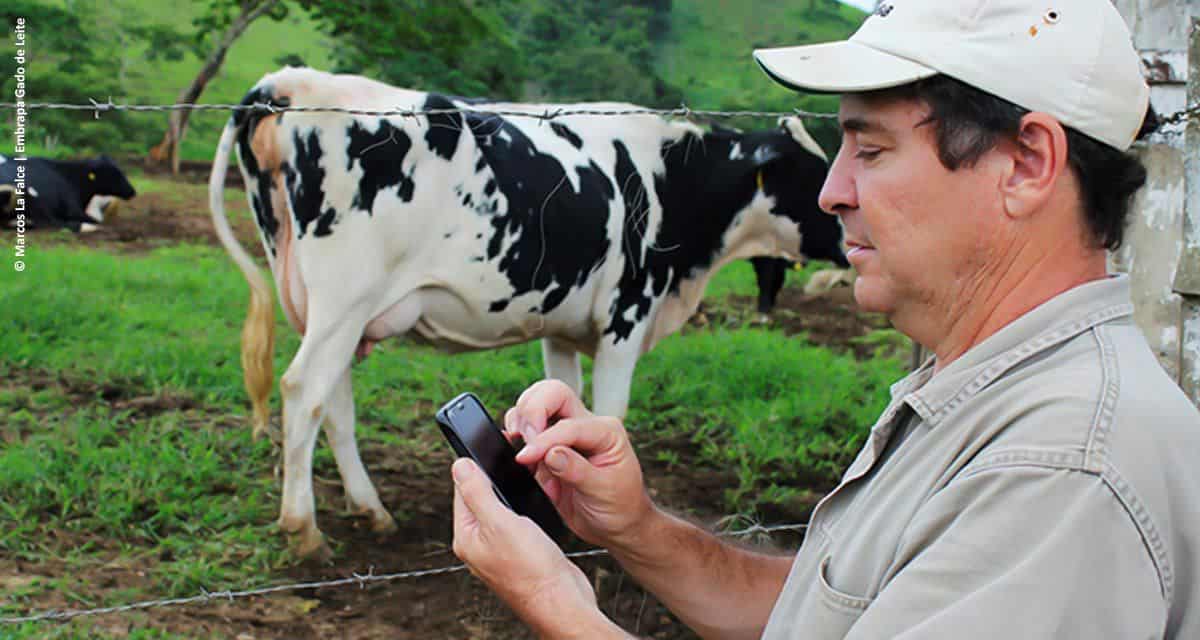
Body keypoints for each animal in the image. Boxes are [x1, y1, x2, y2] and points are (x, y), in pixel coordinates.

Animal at [208, 67, 844, 557]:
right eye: (812, 173)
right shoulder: (627, 316)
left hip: (324, 305)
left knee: (334, 401)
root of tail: (291, 80)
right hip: (345, 295)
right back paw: (304, 529)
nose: (842, 221)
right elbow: (612, 413)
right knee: (303, 390)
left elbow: (568, 399)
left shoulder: (561, 326)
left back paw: (371, 510)